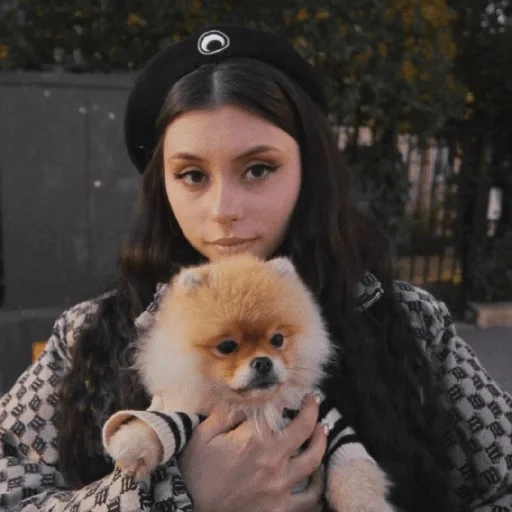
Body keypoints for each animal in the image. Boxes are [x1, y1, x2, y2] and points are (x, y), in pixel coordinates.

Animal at [102, 254, 394, 510]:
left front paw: (364, 504)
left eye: (277, 339)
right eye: (227, 346)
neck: (255, 408)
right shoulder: (193, 413)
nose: (263, 362)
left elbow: (352, 467)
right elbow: (162, 422)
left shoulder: (327, 419)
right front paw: (133, 445)